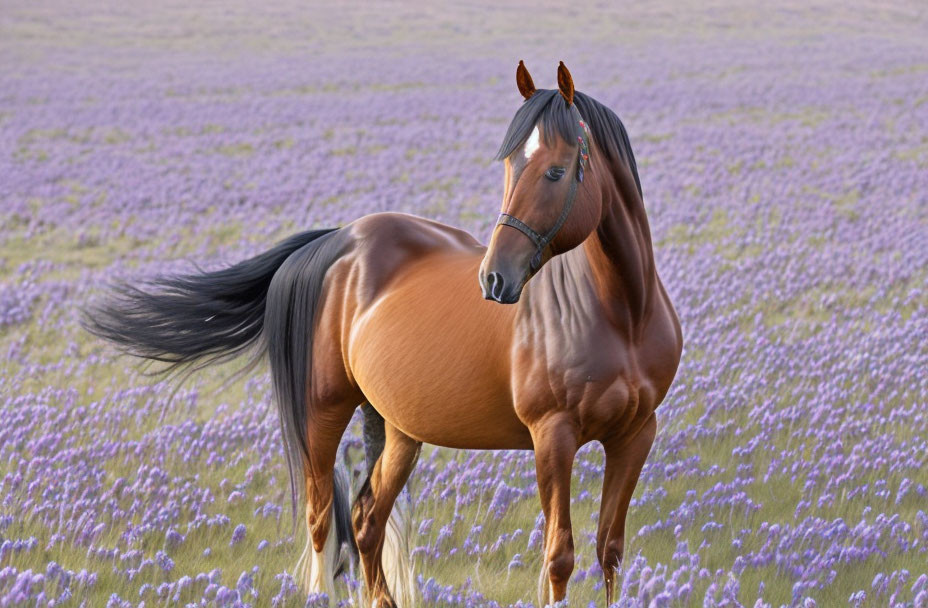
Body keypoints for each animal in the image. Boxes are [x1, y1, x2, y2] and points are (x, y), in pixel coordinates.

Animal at [87, 63, 680, 608]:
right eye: (512, 165)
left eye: (556, 172)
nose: (494, 278)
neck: (620, 313)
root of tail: (335, 241)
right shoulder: (552, 437)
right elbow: (560, 556)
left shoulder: (635, 436)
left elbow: (609, 549)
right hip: (323, 411)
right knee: (323, 518)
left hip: (397, 426)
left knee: (367, 520)